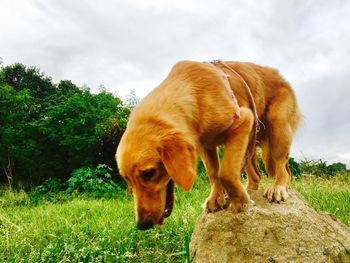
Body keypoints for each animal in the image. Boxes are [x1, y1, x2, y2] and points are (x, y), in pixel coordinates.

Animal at [115, 60, 300, 230]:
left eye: (149, 173)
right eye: (126, 179)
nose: (142, 225)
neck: (194, 93)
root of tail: (279, 76)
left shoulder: (243, 119)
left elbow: (225, 171)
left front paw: (239, 200)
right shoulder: (206, 145)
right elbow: (213, 173)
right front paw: (216, 198)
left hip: (277, 126)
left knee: (283, 168)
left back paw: (278, 188)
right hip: (251, 141)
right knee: (257, 175)